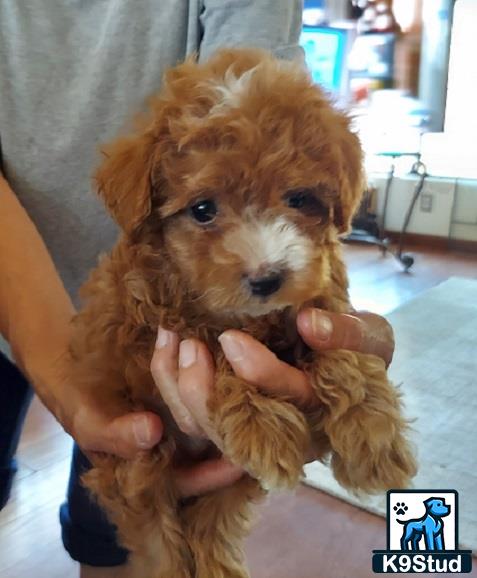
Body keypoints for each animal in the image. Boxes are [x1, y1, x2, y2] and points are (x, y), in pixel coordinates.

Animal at [69, 49, 414, 576]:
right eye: (203, 209)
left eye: (299, 199)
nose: (267, 278)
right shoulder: (148, 334)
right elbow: (214, 347)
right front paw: (262, 424)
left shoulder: (319, 300)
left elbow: (340, 346)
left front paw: (374, 437)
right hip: (138, 459)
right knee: (159, 536)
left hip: (225, 481)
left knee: (211, 526)